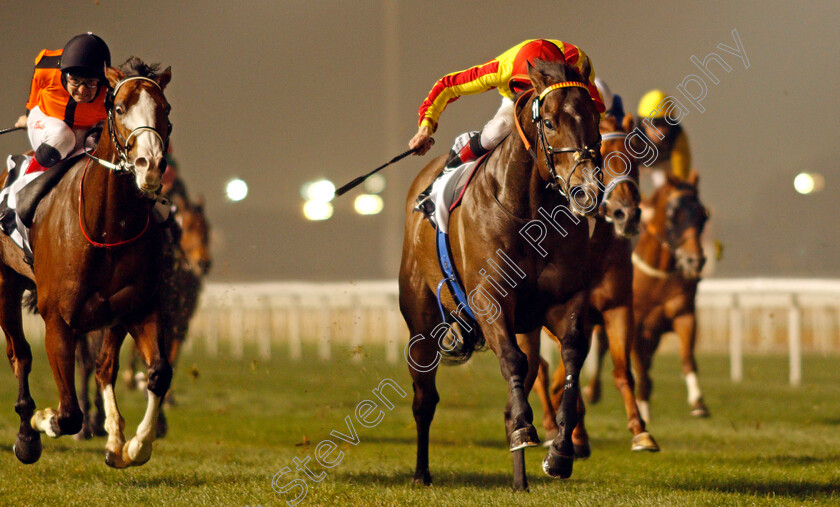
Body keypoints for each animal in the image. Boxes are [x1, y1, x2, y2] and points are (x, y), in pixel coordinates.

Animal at [0, 56, 174, 468]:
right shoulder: (58, 320)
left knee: (104, 365)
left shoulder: (138, 306)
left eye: (165, 109)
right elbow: (68, 413)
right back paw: (27, 435)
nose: (150, 165)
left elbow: (157, 372)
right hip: (5, 284)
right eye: (120, 108)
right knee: (20, 355)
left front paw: (134, 445)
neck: (106, 225)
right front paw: (42, 420)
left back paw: (113, 438)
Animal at [400, 59, 604, 492]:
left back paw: (520, 479)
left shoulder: (565, 301)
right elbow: (511, 361)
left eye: (595, 117)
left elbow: (571, 355)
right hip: (421, 323)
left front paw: (559, 453)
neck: (529, 210)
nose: (586, 190)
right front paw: (525, 430)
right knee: (424, 400)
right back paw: (422, 472)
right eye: (549, 122)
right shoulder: (489, 300)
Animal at [536, 114, 660, 452]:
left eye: (635, 158)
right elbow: (569, 372)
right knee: (538, 370)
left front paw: (641, 431)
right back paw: (552, 426)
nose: (626, 215)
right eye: (602, 158)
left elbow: (622, 371)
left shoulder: (617, 309)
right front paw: (576, 436)